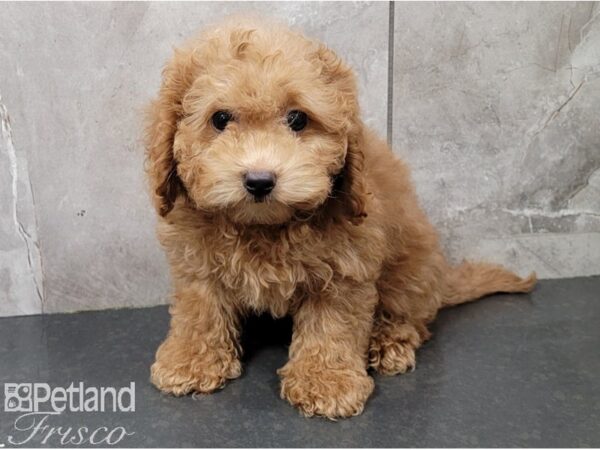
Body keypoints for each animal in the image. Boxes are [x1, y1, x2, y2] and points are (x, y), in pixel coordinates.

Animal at [144, 17, 536, 418]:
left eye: (298, 119)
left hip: (411, 272)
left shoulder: (346, 266)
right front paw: (190, 361)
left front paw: (326, 382)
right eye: (220, 119)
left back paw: (388, 342)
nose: (259, 180)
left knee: (411, 317)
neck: (266, 227)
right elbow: (200, 309)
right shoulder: (196, 261)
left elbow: (332, 325)